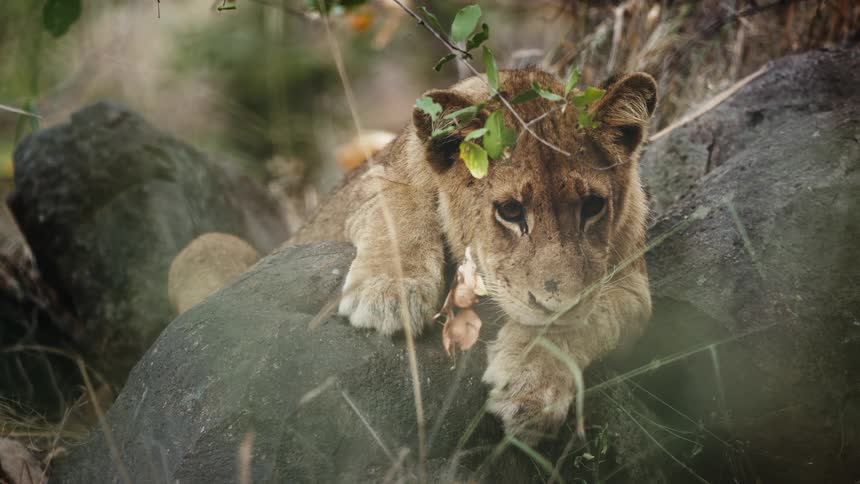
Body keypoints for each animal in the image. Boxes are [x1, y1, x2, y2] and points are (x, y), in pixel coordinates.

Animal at [169, 68, 656, 438]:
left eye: (592, 207)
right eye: (511, 211)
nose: (559, 301)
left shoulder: (633, 283)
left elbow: (589, 318)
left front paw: (531, 386)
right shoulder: (372, 182)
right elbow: (401, 205)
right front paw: (389, 293)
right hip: (208, 246)